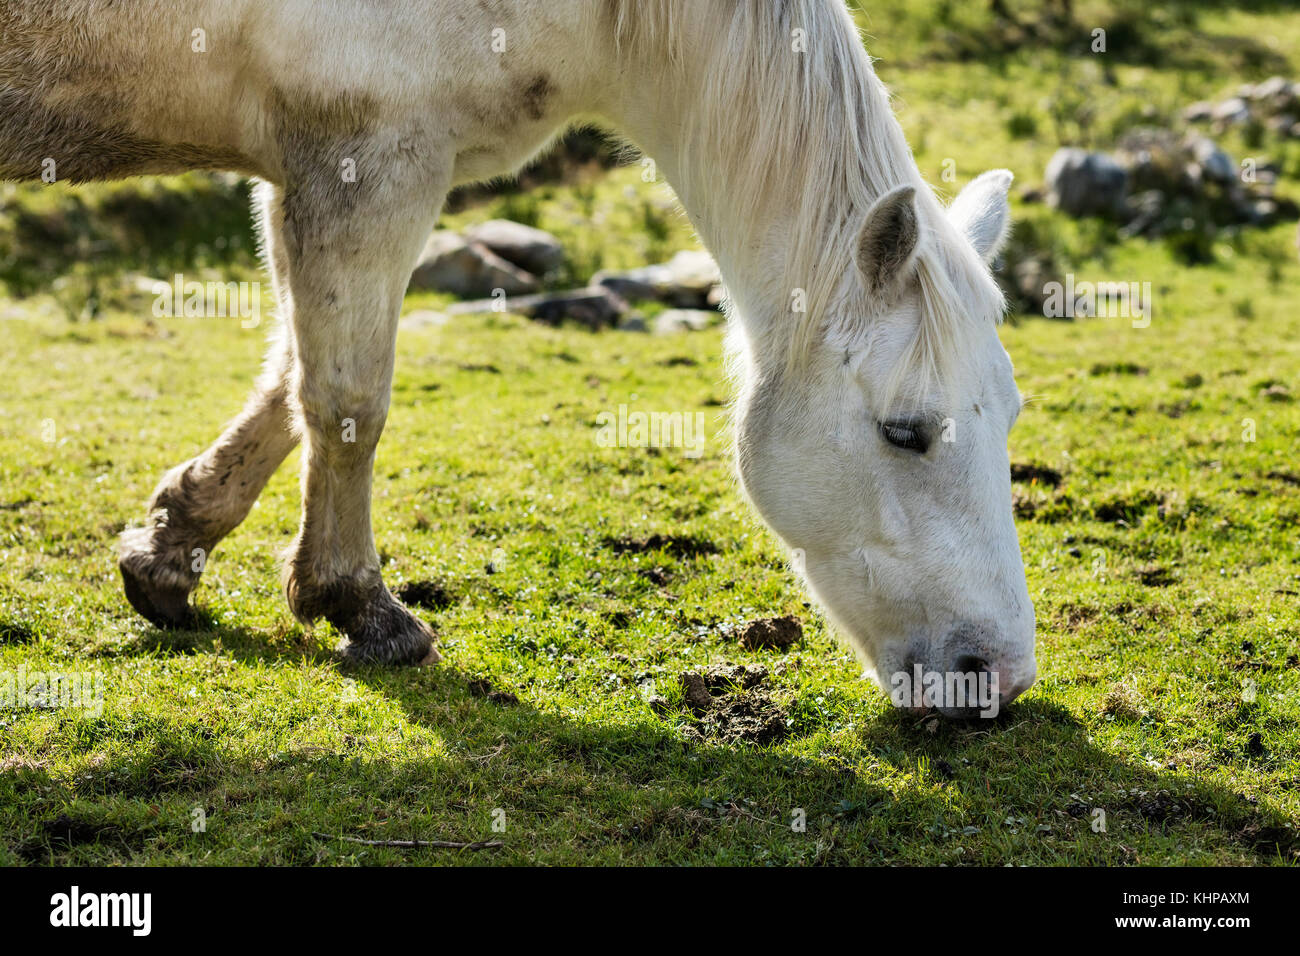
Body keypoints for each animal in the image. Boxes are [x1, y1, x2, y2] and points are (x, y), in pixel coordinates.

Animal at [0, 0, 1034, 712]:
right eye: (905, 432)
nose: (999, 675)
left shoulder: (318, 179)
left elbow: (291, 381)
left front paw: (170, 552)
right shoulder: (366, 167)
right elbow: (345, 399)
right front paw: (360, 609)